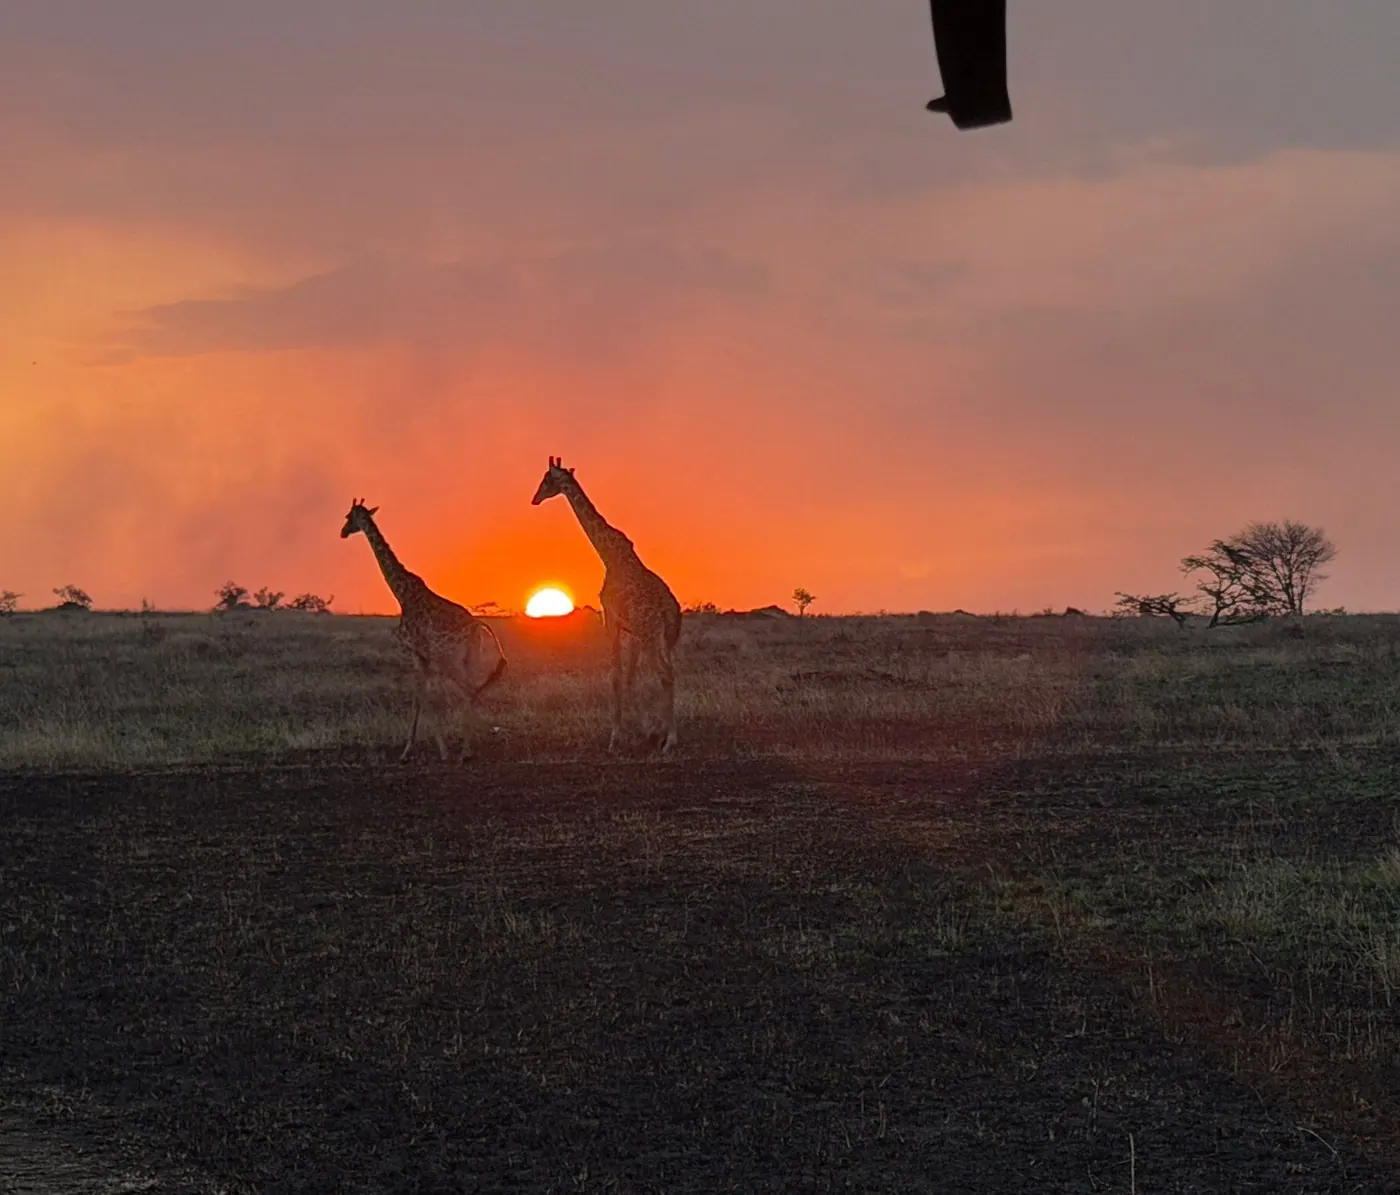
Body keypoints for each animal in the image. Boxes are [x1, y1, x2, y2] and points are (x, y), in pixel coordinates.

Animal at [340, 499, 506, 762]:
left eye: (349, 517)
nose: (343, 532)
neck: (401, 594)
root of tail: (477, 626)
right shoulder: (428, 658)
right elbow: (430, 697)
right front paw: (437, 748)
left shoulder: (418, 653)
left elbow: (421, 697)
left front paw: (413, 751)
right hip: (470, 658)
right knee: (475, 690)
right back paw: (475, 744)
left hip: (451, 660)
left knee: (469, 691)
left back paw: (465, 751)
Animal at [530, 458, 682, 753]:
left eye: (546, 480)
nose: (534, 499)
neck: (608, 555)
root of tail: (669, 612)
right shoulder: (631, 630)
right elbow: (630, 676)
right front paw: (647, 729)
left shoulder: (611, 621)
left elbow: (615, 677)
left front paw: (616, 737)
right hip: (663, 638)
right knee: (670, 672)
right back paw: (665, 733)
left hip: (651, 635)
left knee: (665, 674)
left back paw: (671, 740)